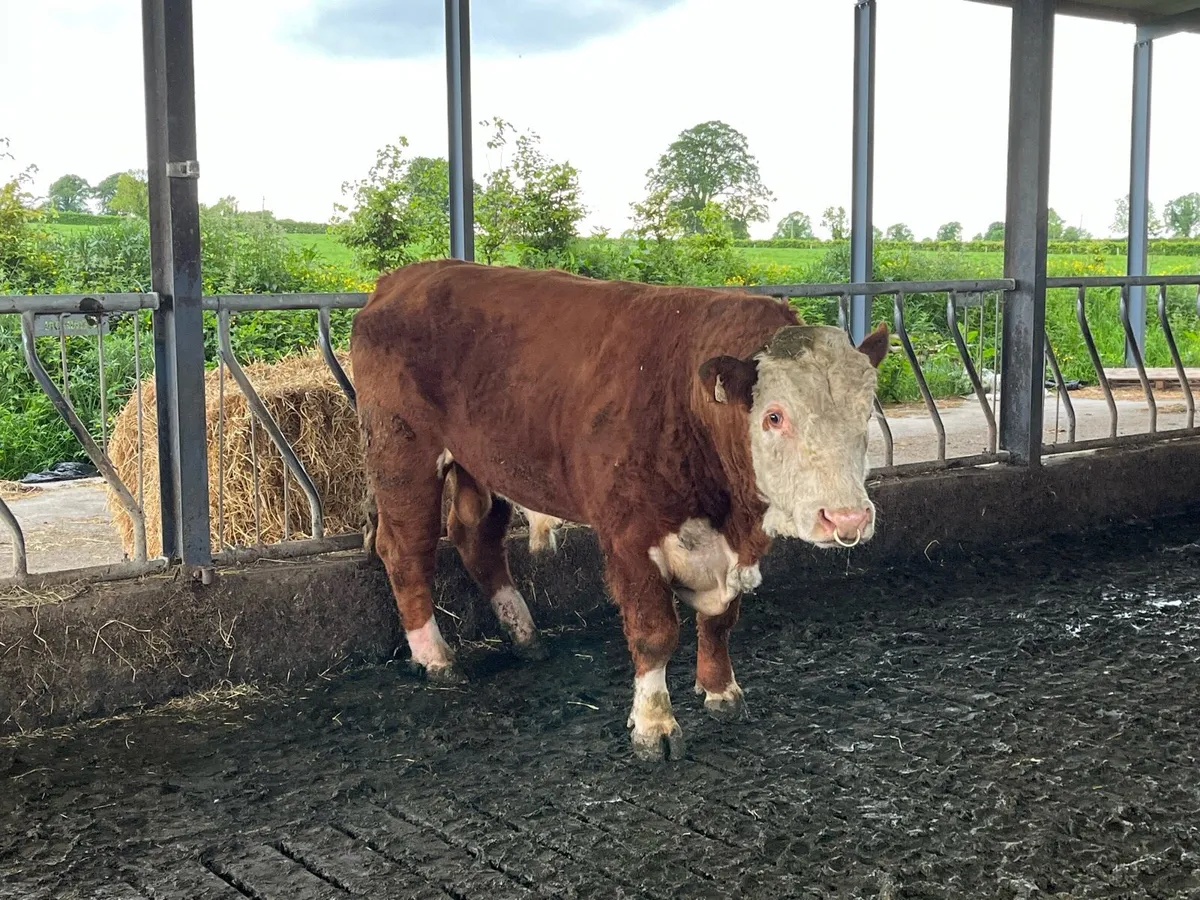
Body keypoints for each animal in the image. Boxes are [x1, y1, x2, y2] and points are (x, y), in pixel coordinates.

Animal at [350, 258, 888, 761]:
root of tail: (401, 279)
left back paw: (524, 635)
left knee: (475, 538)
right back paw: (435, 658)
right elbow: (654, 632)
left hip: (480, 462)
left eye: (865, 413)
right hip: (404, 453)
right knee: (406, 549)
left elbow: (720, 619)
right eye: (774, 416)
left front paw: (720, 690)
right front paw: (654, 725)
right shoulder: (630, 533)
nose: (847, 519)